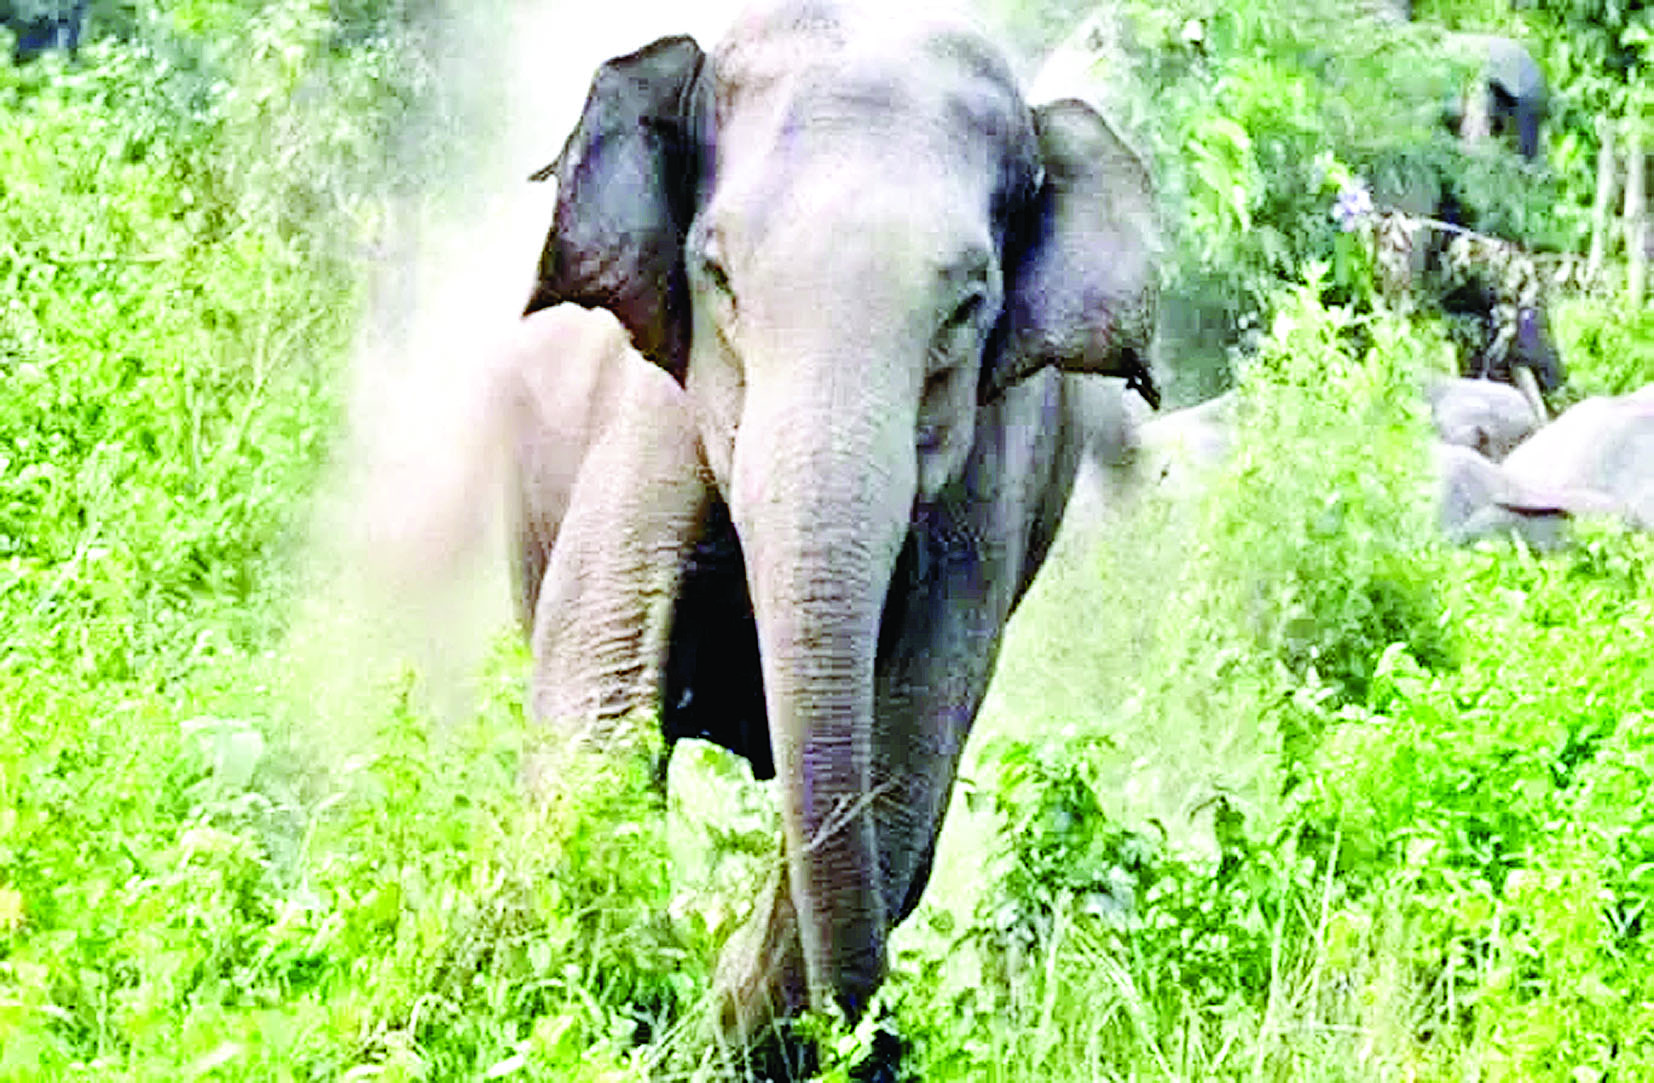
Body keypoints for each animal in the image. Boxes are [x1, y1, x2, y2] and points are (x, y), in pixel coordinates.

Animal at [522, 0, 1157, 1058]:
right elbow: (598, 697)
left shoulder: (990, 481)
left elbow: (903, 756)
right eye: (718, 275)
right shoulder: (655, 406)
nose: (882, 1048)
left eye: (967, 306)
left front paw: (713, 1036)